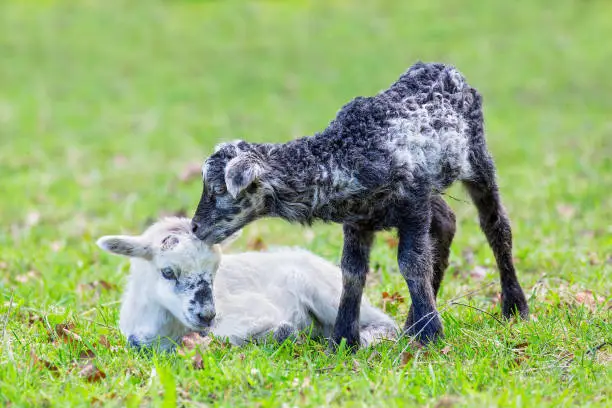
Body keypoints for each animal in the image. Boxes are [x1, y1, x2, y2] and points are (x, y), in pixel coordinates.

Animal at [98, 217, 400, 350]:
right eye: (168, 272)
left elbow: (222, 335)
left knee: (387, 325)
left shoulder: (250, 311)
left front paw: (281, 333)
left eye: (215, 270)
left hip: (328, 292)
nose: (207, 314)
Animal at [191, 60, 532, 348]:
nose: (195, 227)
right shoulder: (358, 220)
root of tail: (444, 67)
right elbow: (352, 272)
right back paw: (413, 320)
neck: (346, 152)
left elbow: (411, 263)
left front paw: (429, 335)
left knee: (495, 226)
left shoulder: (413, 203)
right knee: (446, 221)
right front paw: (343, 340)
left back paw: (514, 307)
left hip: (477, 158)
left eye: (218, 189)